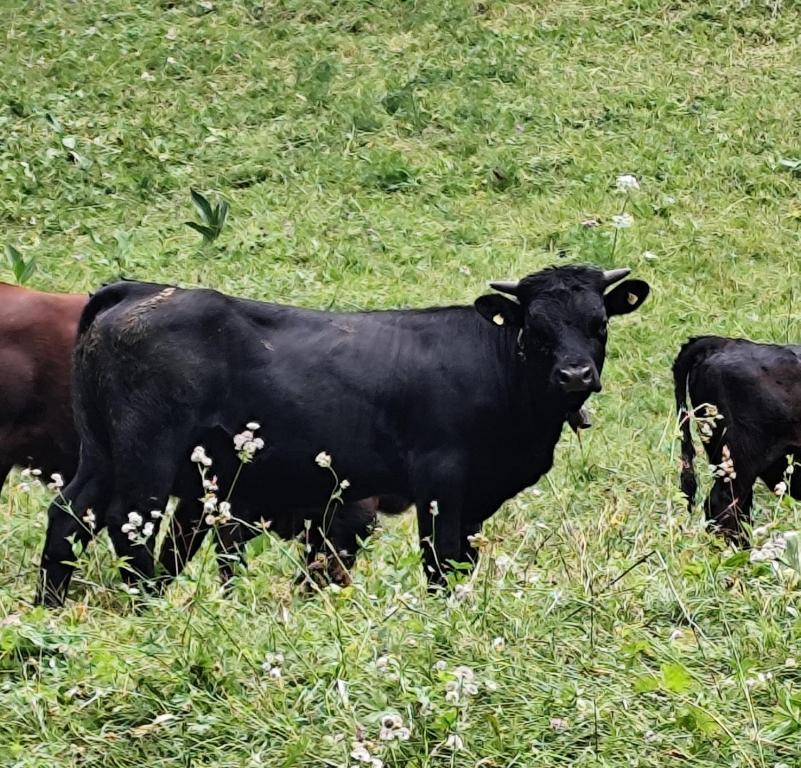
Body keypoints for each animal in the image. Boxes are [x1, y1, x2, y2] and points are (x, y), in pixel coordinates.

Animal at [36, 265, 650, 606]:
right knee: (128, 524)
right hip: (147, 458)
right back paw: (144, 605)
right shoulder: (440, 482)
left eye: (598, 323)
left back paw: (51, 604)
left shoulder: (476, 496)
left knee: (70, 515)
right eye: (536, 327)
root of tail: (140, 290)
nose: (575, 374)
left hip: (101, 453)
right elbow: (441, 559)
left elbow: (463, 561)